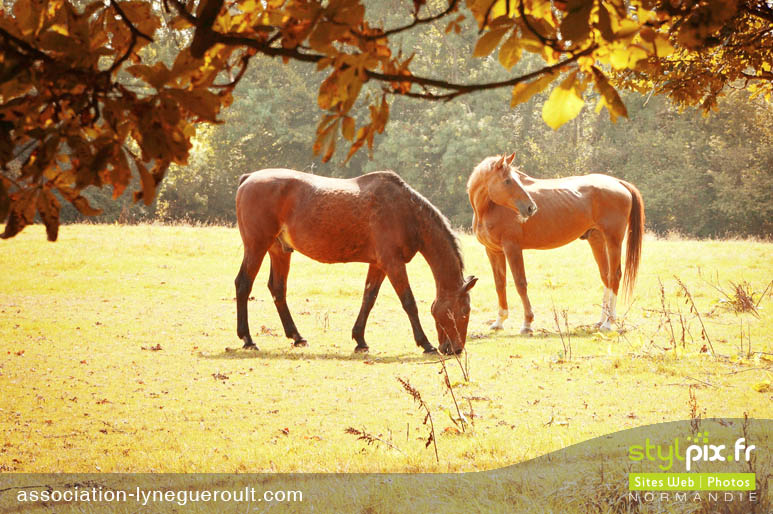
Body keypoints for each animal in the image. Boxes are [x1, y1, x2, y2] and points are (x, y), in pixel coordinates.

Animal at [234, 167, 476, 352]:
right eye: (464, 312)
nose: (455, 349)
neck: (406, 212)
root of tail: (248, 178)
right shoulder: (393, 263)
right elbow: (409, 302)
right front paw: (425, 343)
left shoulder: (379, 265)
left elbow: (368, 298)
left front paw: (360, 339)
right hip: (256, 246)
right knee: (243, 284)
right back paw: (248, 339)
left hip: (279, 251)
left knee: (278, 288)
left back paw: (296, 336)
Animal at [468, 153, 644, 332]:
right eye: (507, 181)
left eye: (516, 179)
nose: (531, 208)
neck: (489, 208)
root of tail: (619, 183)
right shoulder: (493, 251)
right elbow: (500, 284)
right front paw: (499, 322)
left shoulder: (512, 248)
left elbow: (520, 283)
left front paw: (527, 323)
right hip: (597, 240)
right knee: (606, 276)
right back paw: (601, 321)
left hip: (613, 240)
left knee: (615, 276)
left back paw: (609, 323)